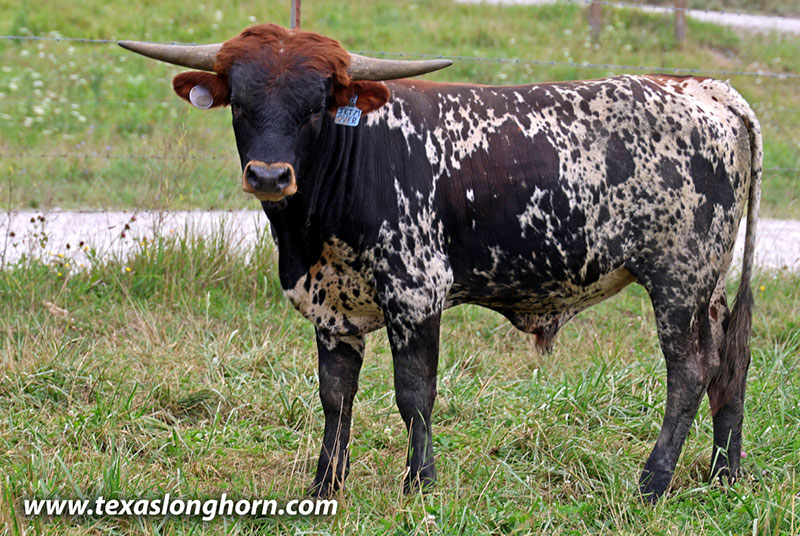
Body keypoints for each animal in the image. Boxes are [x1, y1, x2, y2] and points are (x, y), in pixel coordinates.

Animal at [120, 23, 761, 502]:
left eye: (316, 106)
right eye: (241, 103)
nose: (270, 176)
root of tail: (704, 88)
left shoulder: (415, 293)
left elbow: (414, 393)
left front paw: (420, 483)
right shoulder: (331, 307)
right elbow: (335, 396)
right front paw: (325, 486)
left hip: (676, 281)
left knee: (689, 373)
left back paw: (652, 483)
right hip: (709, 286)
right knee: (729, 363)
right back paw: (723, 475)